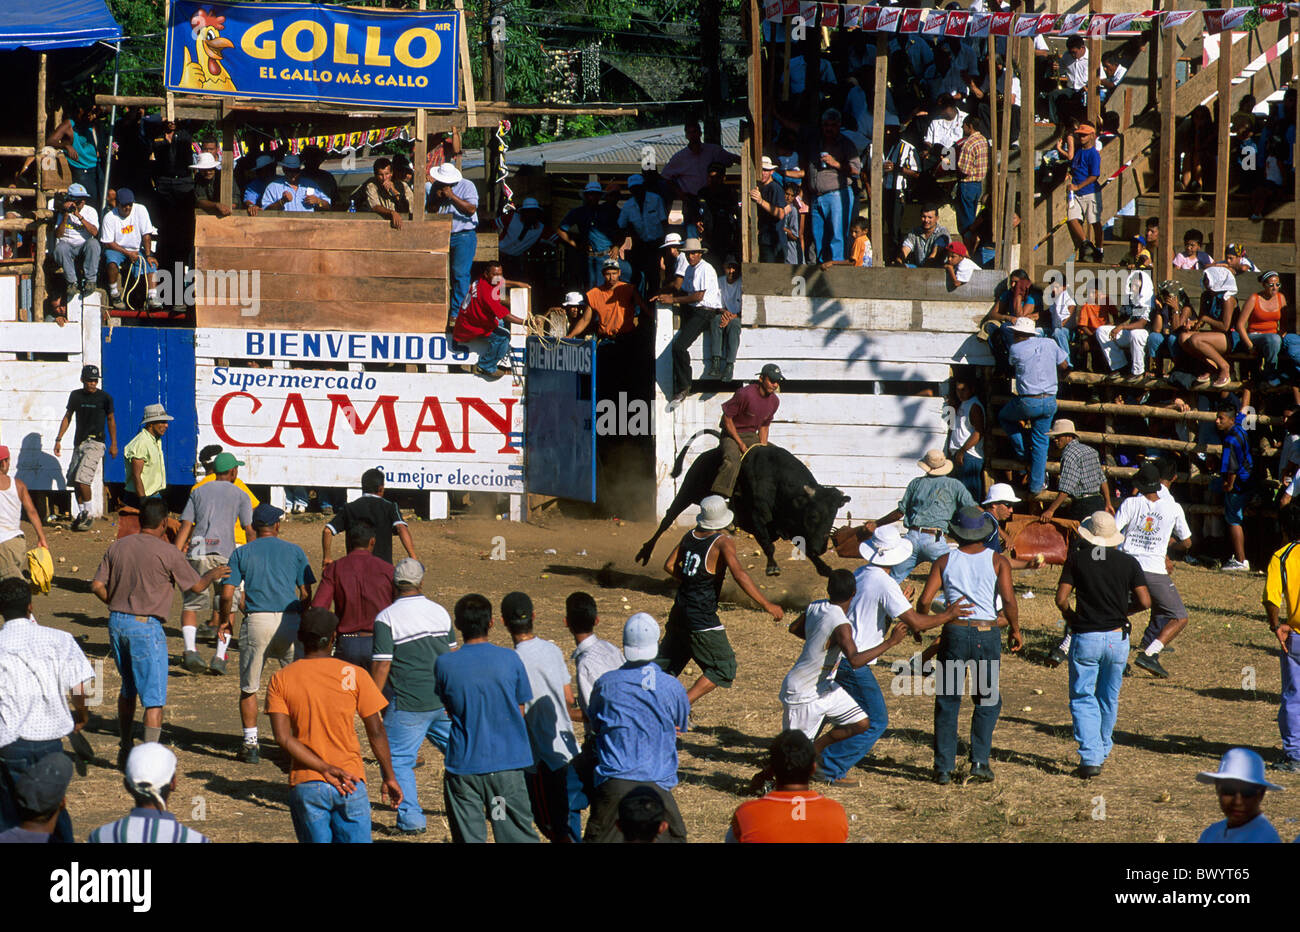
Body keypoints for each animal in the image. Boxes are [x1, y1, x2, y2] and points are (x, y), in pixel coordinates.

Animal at [631, 428, 852, 574]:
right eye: (813, 515)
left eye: (833, 516)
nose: (821, 548)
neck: (778, 482)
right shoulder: (756, 518)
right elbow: (767, 543)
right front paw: (772, 567)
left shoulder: (791, 525)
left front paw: (826, 569)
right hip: (687, 491)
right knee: (667, 519)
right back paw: (645, 552)